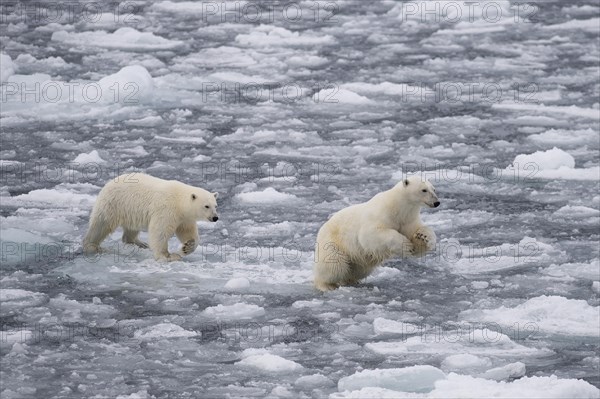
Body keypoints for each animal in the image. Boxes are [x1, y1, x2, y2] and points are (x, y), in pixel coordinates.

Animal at [82, 173, 218, 260]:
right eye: (206, 206)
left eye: (215, 205)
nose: (215, 218)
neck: (179, 201)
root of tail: (110, 182)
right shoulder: (166, 209)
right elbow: (160, 231)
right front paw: (167, 256)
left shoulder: (184, 217)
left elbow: (187, 231)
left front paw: (187, 247)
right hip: (113, 204)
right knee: (100, 224)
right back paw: (92, 246)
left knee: (131, 228)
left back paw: (140, 243)